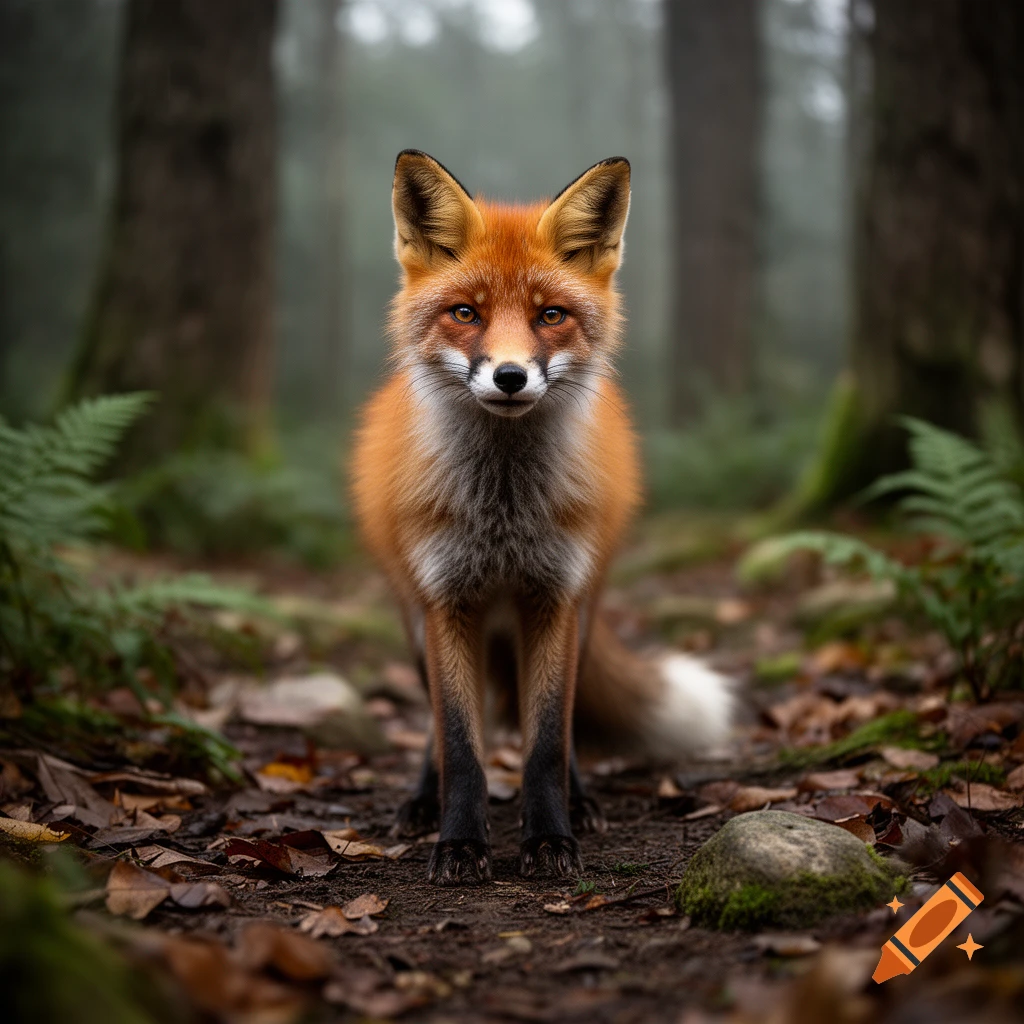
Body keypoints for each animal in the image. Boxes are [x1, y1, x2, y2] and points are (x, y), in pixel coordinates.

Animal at [351, 151, 732, 886]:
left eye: (550, 315)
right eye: (466, 313)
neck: (503, 514)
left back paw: (579, 802)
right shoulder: (446, 602)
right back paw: (421, 802)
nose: (509, 376)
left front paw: (551, 837)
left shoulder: (554, 596)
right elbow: (460, 744)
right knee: (435, 729)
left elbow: (548, 740)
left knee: (565, 726)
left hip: (581, 611)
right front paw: (459, 844)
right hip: (414, 618)